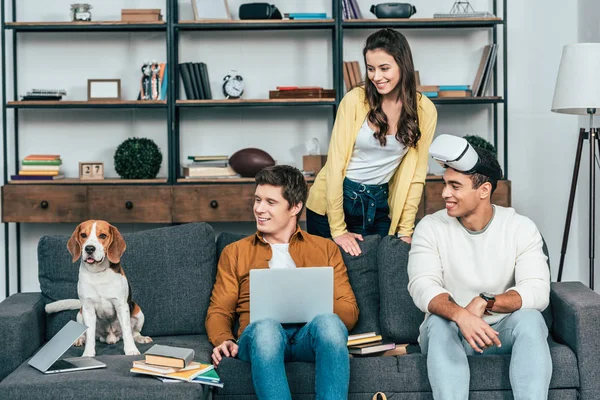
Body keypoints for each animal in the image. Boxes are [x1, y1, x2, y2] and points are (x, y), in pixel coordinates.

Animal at [44, 222, 151, 356]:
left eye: (103, 236)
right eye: (83, 235)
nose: (89, 248)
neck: (98, 272)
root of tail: (111, 338)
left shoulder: (121, 306)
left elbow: (127, 331)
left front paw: (131, 350)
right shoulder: (88, 309)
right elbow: (89, 334)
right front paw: (88, 354)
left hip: (138, 312)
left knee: (134, 332)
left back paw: (141, 338)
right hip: (80, 314)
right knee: (85, 334)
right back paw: (79, 340)